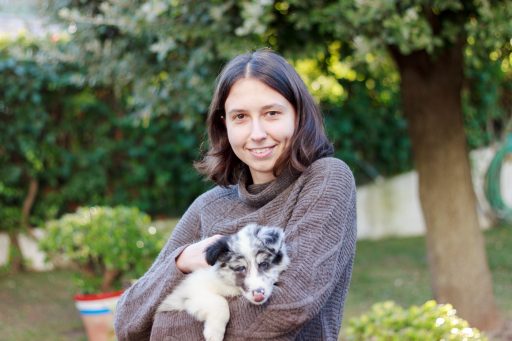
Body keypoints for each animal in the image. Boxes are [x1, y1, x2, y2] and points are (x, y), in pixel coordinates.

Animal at [157, 223, 288, 340]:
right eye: (240, 268)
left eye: (264, 264)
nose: (259, 295)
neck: (228, 283)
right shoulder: (191, 290)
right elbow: (220, 301)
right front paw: (214, 333)